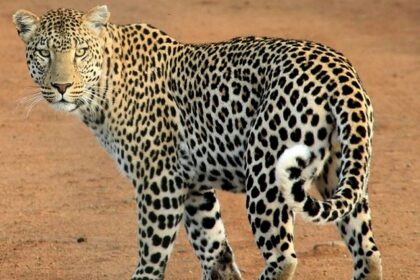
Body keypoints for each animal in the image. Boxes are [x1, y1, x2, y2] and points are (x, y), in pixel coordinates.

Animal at [12, 4, 384, 280]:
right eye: (43, 52)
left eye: (80, 52)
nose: (61, 86)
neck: (103, 87)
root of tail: (339, 72)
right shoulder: (193, 186)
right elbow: (215, 251)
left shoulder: (158, 184)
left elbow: (151, 257)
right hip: (341, 172)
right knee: (368, 252)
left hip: (265, 177)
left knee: (283, 256)